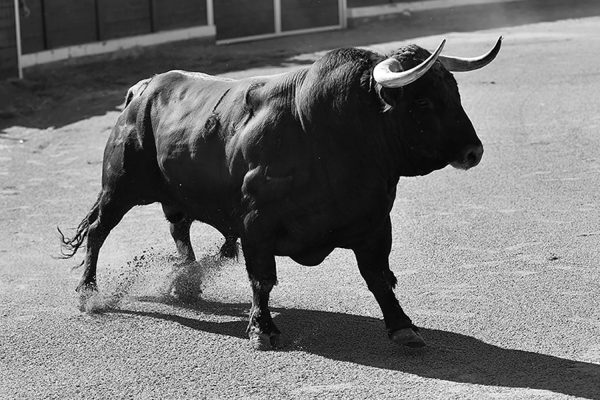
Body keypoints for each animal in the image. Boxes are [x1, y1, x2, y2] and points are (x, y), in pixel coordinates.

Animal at [59, 38, 502, 350]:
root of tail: (144, 88)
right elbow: (262, 278)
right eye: (423, 101)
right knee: (99, 232)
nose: (474, 152)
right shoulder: (257, 224)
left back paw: (188, 282)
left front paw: (403, 327)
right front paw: (263, 330)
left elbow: (379, 277)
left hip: (174, 193)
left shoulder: (374, 222)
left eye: (455, 92)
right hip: (119, 188)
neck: (333, 133)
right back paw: (89, 293)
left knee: (178, 227)